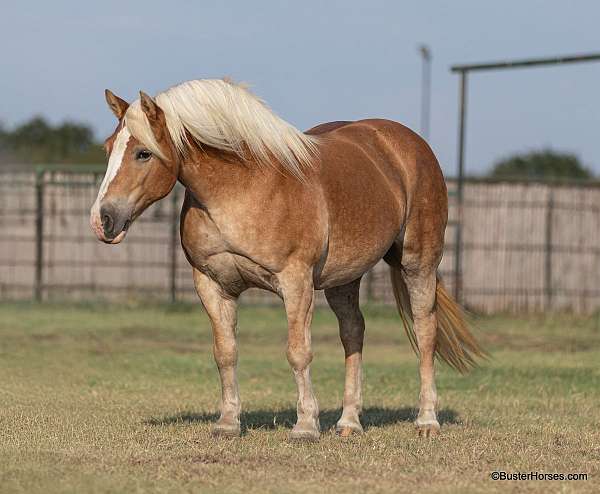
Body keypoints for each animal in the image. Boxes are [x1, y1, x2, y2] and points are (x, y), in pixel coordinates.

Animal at [90, 78, 482, 440]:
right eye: (108, 148)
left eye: (143, 153)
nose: (102, 220)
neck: (241, 187)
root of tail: (405, 142)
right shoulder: (212, 284)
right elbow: (225, 352)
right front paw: (228, 422)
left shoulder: (296, 282)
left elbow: (298, 352)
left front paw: (306, 425)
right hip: (344, 278)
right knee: (353, 333)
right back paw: (349, 422)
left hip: (418, 263)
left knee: (425, 331)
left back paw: (426, 420)